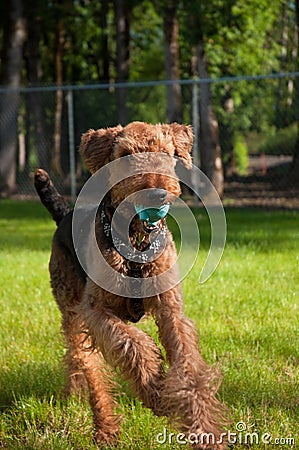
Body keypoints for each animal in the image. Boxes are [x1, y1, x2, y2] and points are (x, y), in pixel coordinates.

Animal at [34, 121, 227, 448]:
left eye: (166, 152)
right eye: (124, 154)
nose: (156, 193)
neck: (137, 240)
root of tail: (65, 215)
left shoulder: (170, 309)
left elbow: (188, 368)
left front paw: (204, 432)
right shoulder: (96, 311)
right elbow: (134, 345)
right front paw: (154, 391)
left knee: (80, 362)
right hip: (72, 310)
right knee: (86, 363)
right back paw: (105, 426)